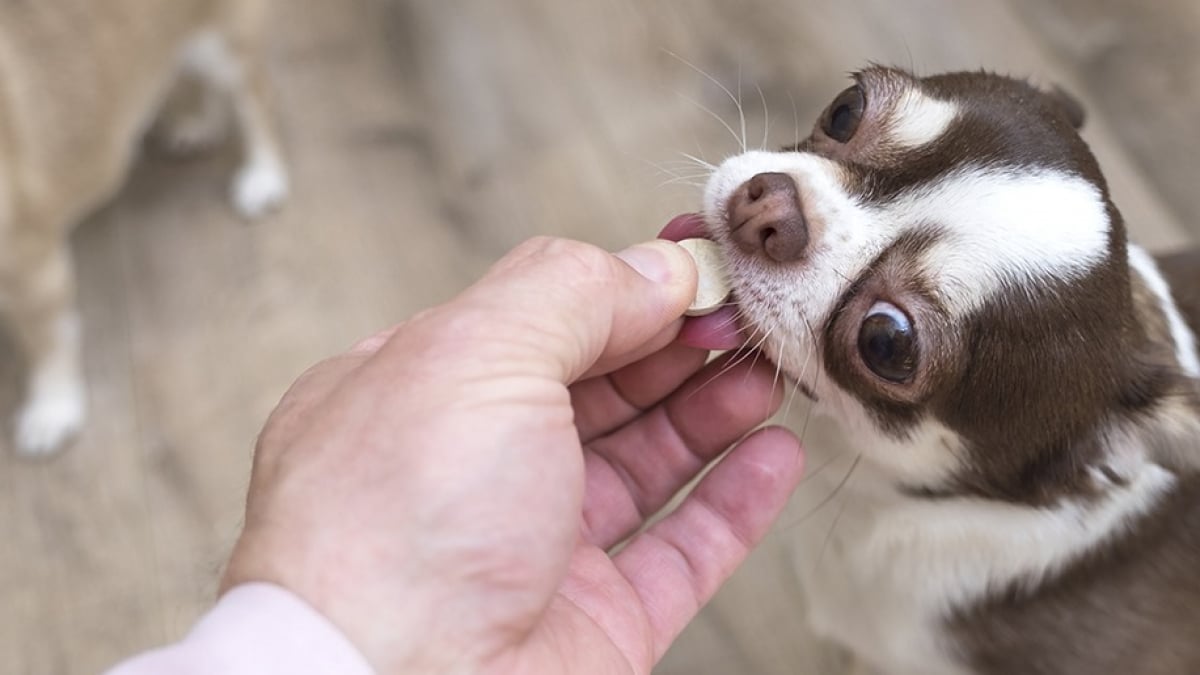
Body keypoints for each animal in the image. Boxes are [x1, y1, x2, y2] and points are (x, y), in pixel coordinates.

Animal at [0, 0, 288, 454]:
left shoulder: (31, 269)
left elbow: (47, 345)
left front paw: (53, 409)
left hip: (227, 46)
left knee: (257, 101)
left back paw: (264, 175)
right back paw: (196, 122)